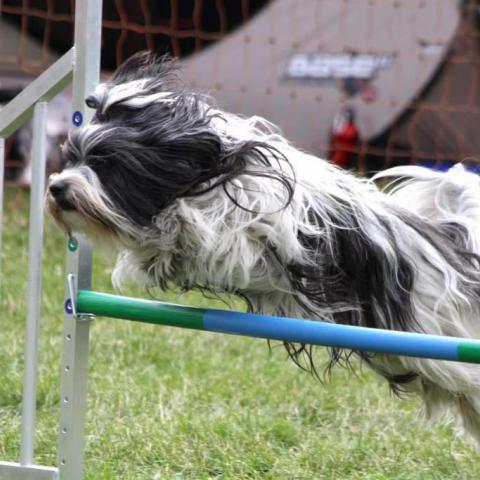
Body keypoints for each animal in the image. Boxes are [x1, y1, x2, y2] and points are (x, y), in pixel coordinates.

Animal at [47, 52, 480, 442]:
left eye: (107, 163)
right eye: (71, 158)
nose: (56, 188)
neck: (211, 173)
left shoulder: (249, 233)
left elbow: (202, 232)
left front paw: (172, 234)